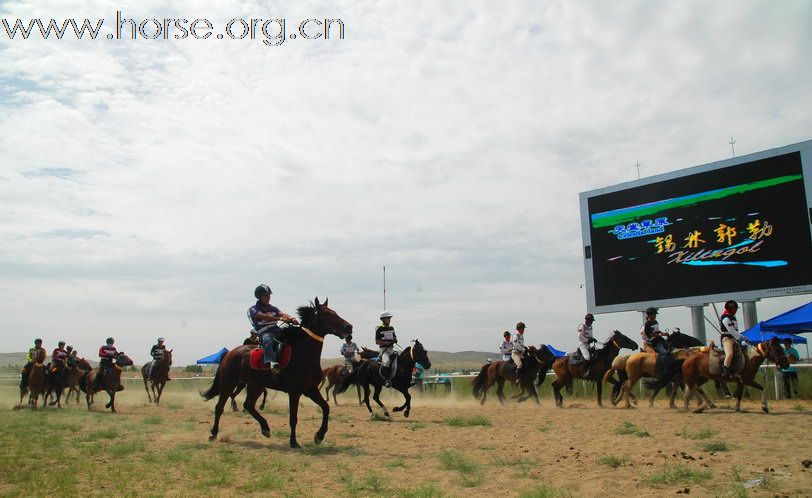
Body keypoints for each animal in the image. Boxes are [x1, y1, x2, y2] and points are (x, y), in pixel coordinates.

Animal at [201, 298, 350, 450]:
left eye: (334, 312)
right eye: (327, 314)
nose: (348, 327)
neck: (302, 355)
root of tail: (229, 353)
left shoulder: (310, 390)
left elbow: (326, 408)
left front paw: (319, 436)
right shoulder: (294, 392)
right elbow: (293, 418)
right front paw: (294, 442)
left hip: (256, 385)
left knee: (248, 405)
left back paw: (265, 428)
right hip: (228, 384)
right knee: (220, 407)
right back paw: (213, 434)